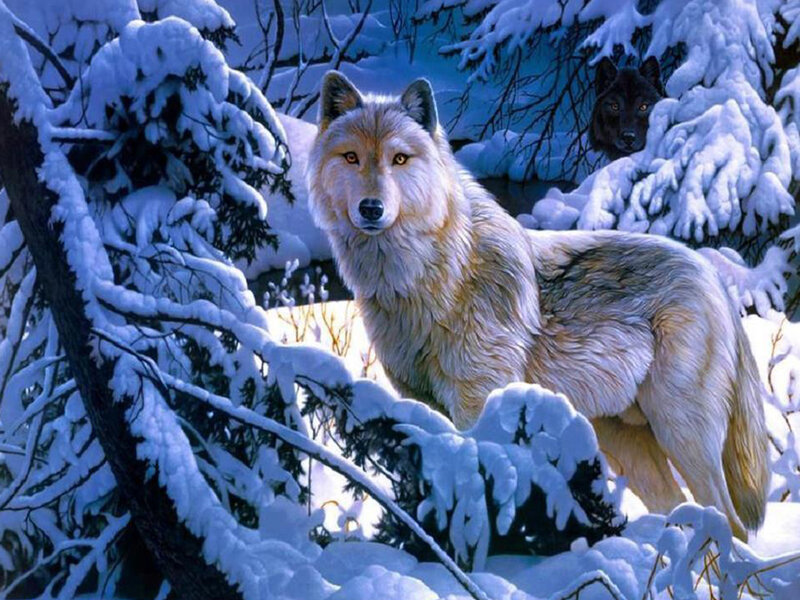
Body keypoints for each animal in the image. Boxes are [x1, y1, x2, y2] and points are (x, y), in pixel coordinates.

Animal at [306, 71, 769, 539]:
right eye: (351, 157)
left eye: (399, 159)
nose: (371, 208)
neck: (431, 277)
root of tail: (713, 276)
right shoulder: (422, 405)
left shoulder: (477, 404)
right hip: (627, 444)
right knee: (680, 511)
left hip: (681, 434)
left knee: (731, 523)